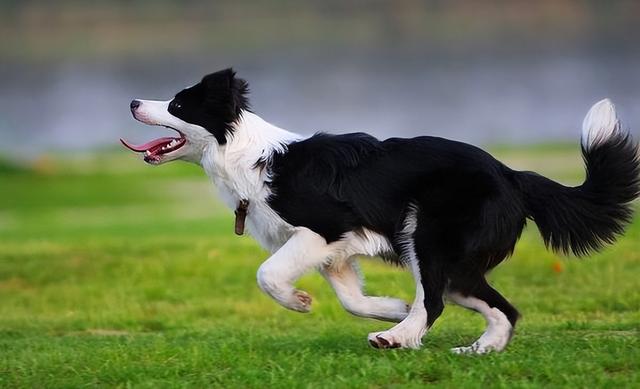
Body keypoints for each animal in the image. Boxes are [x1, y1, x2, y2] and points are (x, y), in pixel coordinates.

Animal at [121, 68, 640, 354]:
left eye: (178, 104)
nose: (132, 100)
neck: (246, 156)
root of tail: (514, 175)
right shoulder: (335, 252)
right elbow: (352, 299)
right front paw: (389, 308)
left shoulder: (324, 228)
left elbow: (267, 274)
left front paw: (300, 302)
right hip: (454, 264)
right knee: (498, 307)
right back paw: (476, 349)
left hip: (427, 238)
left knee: (435, 300)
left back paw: (399, 339)